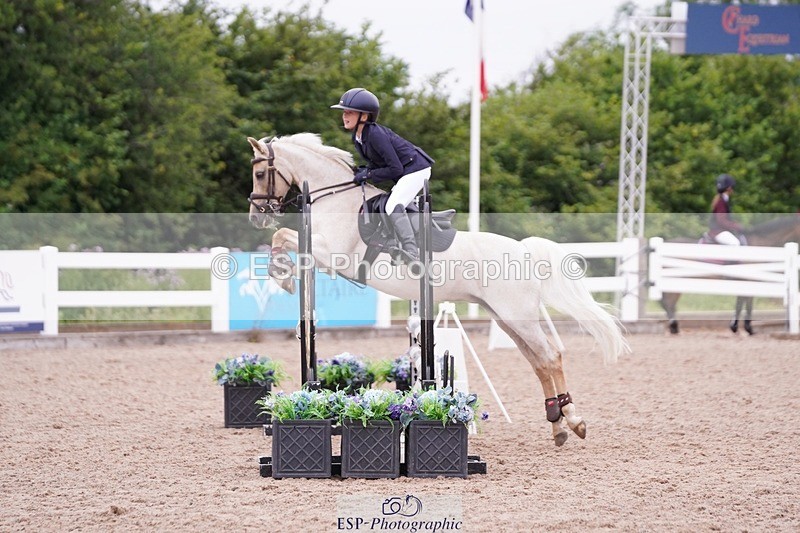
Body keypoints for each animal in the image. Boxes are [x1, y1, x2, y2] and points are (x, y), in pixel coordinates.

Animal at [246, 133, 629, 447]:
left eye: (260, 173)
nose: (256, 215)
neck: (333, 197)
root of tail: (523, 249)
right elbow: (284, 240)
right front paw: (282, 273)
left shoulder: (332, 253)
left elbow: (284, 236)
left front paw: (281, 275)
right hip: (507, 319)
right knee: (539, 363)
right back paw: (559, 424)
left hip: (517, 316)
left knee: (550, 357)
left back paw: (573, 420)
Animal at [660, 215, 800, 335]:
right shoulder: (747, 280)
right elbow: (745, 303)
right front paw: (744, 328)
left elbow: (742, 303)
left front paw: (738, 326)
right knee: (668, 302)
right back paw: (674, 326)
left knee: (668, 303)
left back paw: (674, 327)